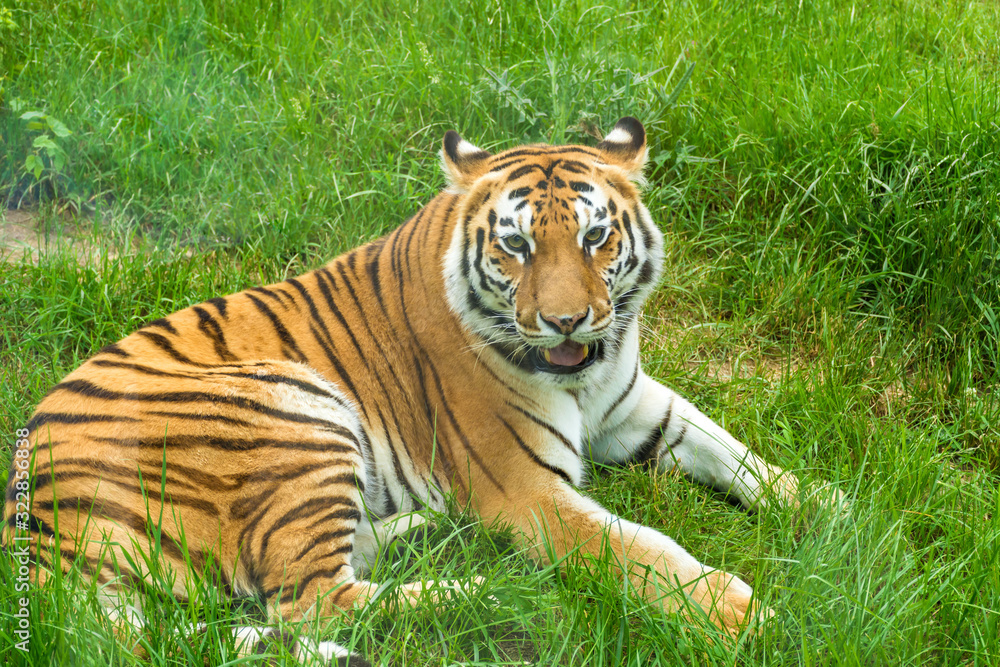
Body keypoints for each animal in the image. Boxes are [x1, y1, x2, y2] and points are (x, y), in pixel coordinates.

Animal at [3, 117, 801, 665]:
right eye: (517, 246)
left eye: (595, 237)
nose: (566, 320)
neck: (588, 372)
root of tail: (31, 521)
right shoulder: (529, 490)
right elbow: (639, 549)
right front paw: (740, 612)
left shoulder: (637, 409)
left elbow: (737, 453)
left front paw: (820, 508)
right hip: (296, 402)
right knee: (311, 603)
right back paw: (483, 587)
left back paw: (430, 529)